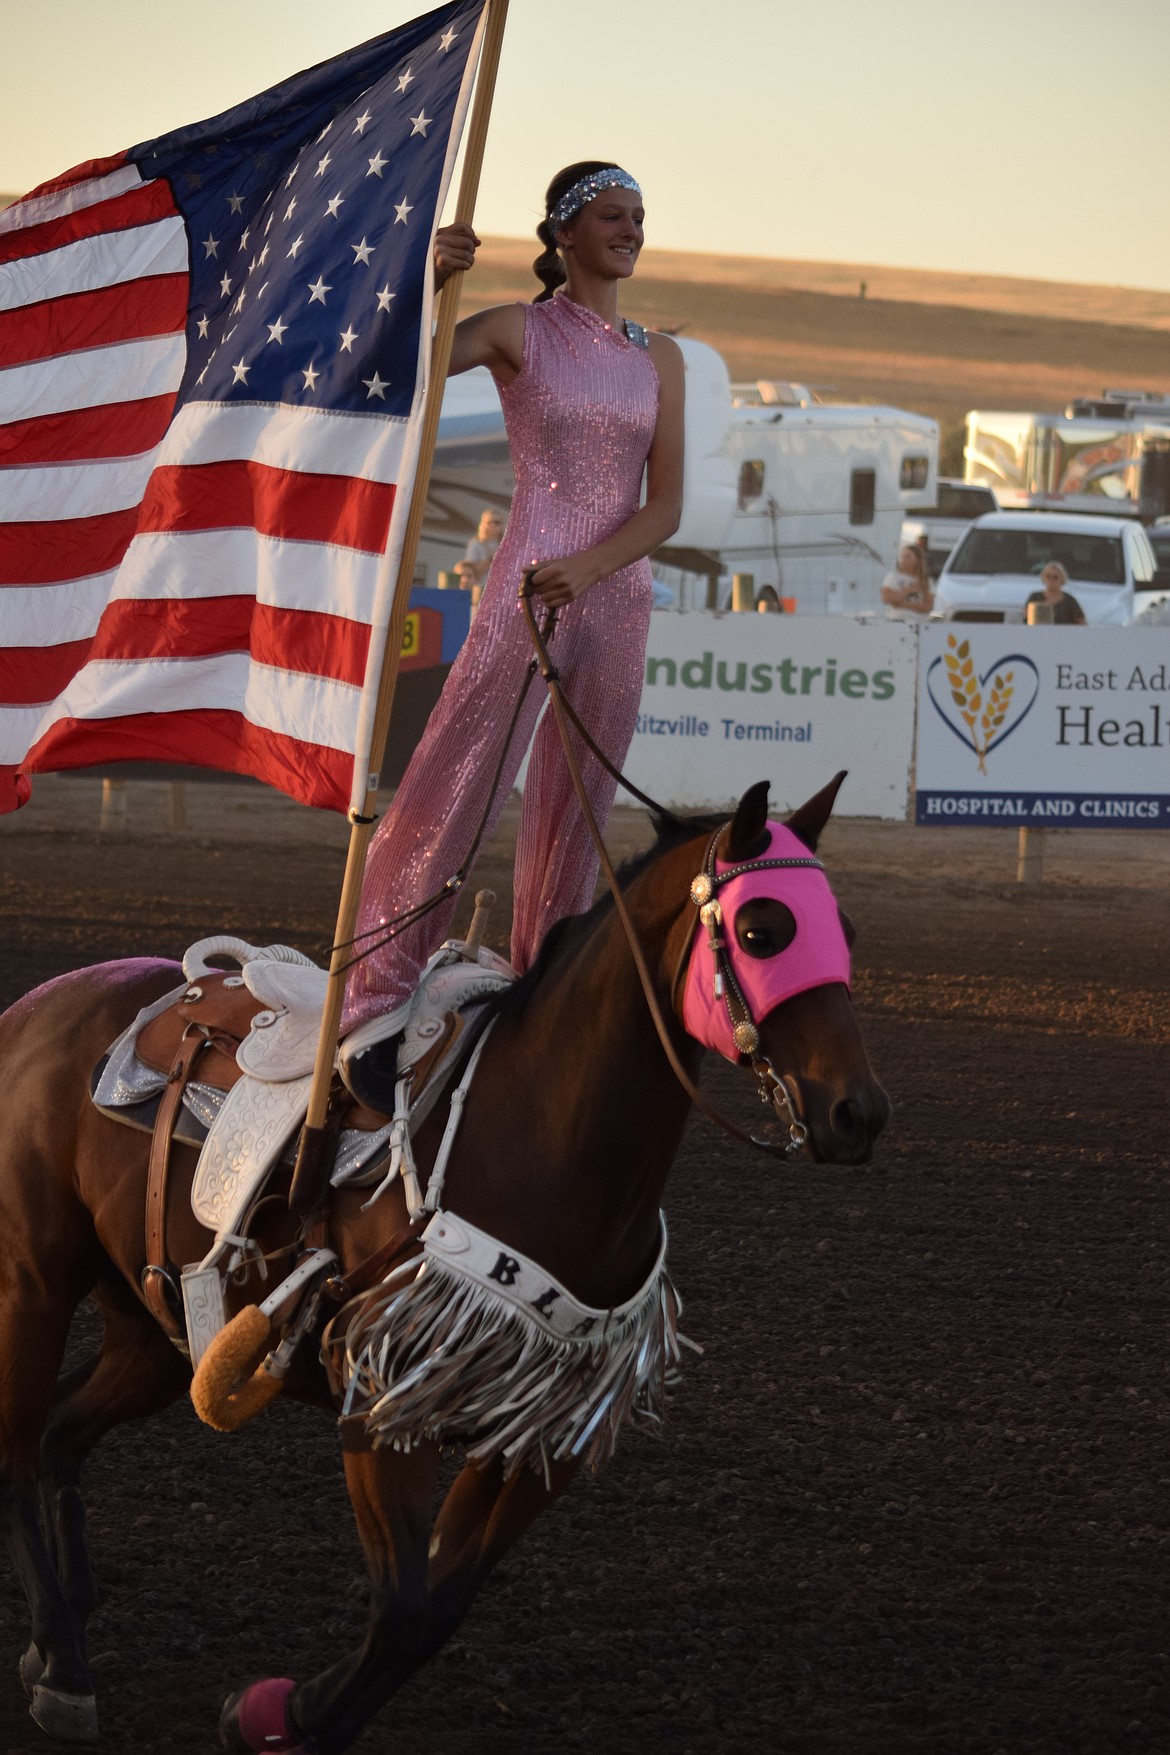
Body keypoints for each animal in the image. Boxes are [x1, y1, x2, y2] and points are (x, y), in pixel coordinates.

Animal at [0, 775, 887, 1747]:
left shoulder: (544, 1425)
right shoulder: (384, 1399)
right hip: (33, 1281)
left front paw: (290, 1711)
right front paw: (272, 1712)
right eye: (764, 929)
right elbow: (405, 1610)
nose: (859, 1112)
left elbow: (439, 1607)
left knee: (59, 1434)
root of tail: (35, 1007)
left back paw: (60, 1639)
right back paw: (61, 1659)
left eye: (842, 927)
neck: (541, 1133)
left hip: (155, 1324)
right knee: (19, 1446)